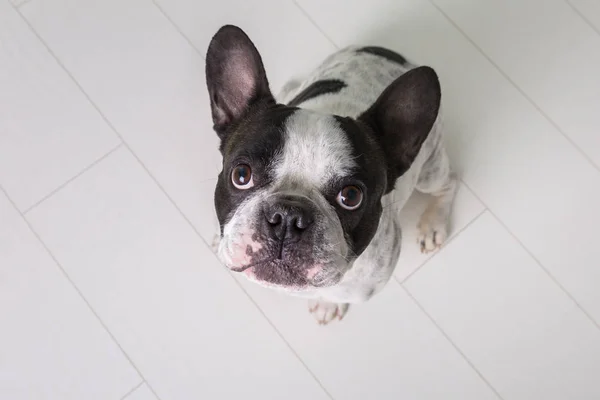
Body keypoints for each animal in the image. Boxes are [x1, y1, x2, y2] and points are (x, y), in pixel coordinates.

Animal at [205, 25, 454, 324]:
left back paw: (433, 224)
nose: (287, 217)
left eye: (351, 196)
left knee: (448, 185)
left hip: (430, 170)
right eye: (242, 175)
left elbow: (334, 295)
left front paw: (327, 305)